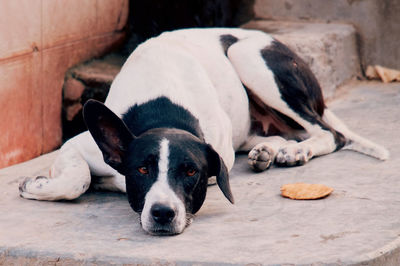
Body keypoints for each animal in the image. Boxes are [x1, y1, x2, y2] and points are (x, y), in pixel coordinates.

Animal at [18, 28, 388, 235]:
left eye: (190, 172)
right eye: (142, 169)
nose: (163, 213)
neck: (164, 107)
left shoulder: (216, 159)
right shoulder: (79, 145)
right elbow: (76, 180)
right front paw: (40, 185)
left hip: (248, 55)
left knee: (330, 133)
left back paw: (295, 151)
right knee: (284, 134)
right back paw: (268, 151)